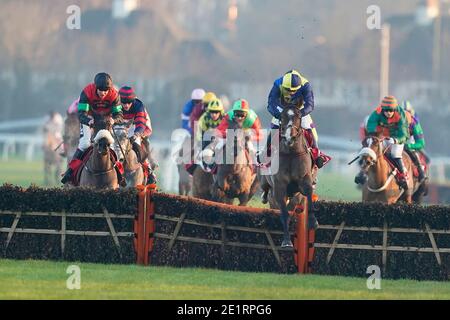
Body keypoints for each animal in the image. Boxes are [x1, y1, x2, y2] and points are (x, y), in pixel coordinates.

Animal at [258, 105, 314, 248]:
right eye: (281, 117)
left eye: (299, 116)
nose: (289, 137)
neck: (291, 153)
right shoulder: (279, 186)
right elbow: (284, 213)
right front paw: (287, 241)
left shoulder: (304, 180)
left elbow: (309, 193)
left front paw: (313, 221)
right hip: (264, 181)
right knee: (266, 190)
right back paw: (264, 197)